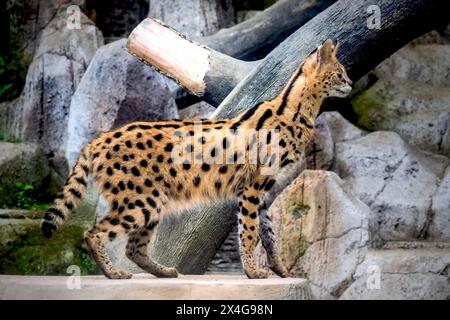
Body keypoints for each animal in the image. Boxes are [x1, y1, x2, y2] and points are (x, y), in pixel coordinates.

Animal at [42, 40, 352, 278]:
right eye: (339, 73)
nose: (350, 84)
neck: (296, 111)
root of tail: (97, 141)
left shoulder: (262, 192)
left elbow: (268, 235)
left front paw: (280, 270)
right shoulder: (253, 188)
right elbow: (249, 232)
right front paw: (253, 272)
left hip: (150, 203)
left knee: (133, 248)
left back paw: (163, 272)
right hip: (141, 201)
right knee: (93, 234)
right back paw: (113, 273)